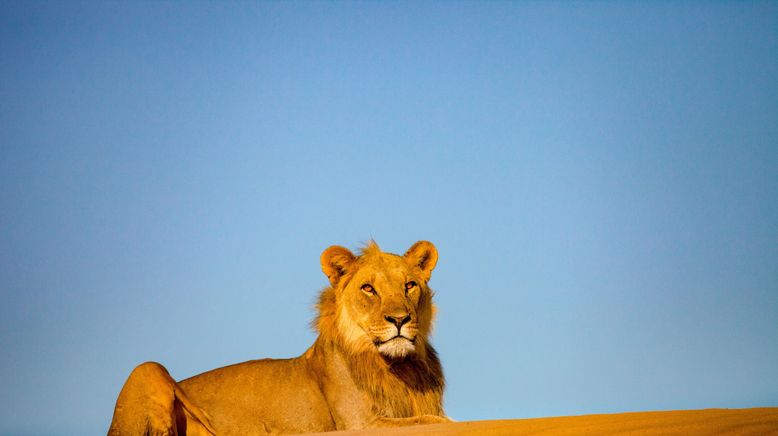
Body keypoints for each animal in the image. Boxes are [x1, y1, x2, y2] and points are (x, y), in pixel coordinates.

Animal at [109, 240, 448, 434]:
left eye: (409, 285)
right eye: (368, 288)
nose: (400, 319)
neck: (399, 367)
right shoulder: (360, 423)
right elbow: (433, 422)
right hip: (147, 368)